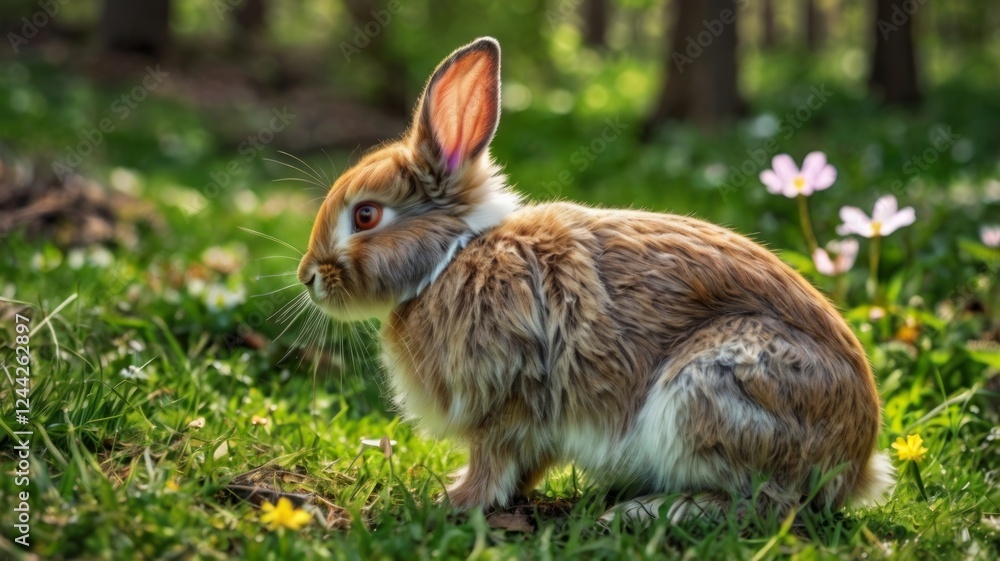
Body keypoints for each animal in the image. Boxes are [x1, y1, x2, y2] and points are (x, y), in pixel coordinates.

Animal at [296, 36, 894, 522]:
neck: (454, 255)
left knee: (768, 503)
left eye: (366, 215)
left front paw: (455, 500)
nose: (308, 278)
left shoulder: (506, 400)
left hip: (709, 388)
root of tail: (856, 465)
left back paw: (646, 512)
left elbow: (493, 460)